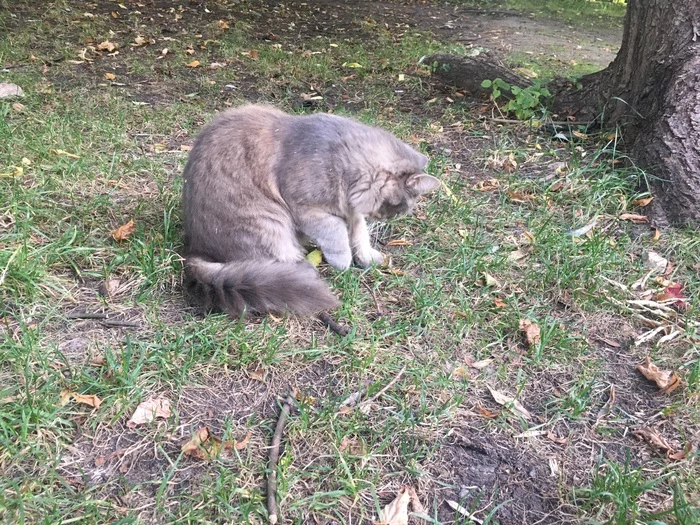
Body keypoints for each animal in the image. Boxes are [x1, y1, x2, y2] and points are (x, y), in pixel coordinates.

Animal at [183, 102, 440, 316]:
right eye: (399, 206)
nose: (390, 218)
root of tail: (194, 249)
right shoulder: (305, 208)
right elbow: (336, 231)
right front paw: (343, 262)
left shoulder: (351, 210)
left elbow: (360, 235)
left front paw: (367, 257)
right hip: (268, 222)